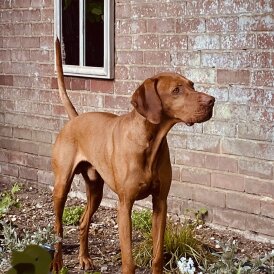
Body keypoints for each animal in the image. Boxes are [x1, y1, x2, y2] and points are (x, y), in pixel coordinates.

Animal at [50, 38, 214, 274]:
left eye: (192, 85)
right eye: (176, 90)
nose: (212, 101)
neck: (149, 141)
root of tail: (75, 119)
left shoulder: (160, 202)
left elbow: (157, 256)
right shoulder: (125, 205)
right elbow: (128, 260)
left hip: (96, 191)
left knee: (82, 222)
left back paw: (84, 258)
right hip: (62, 186)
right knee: (58, 227)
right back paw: (57, 262)